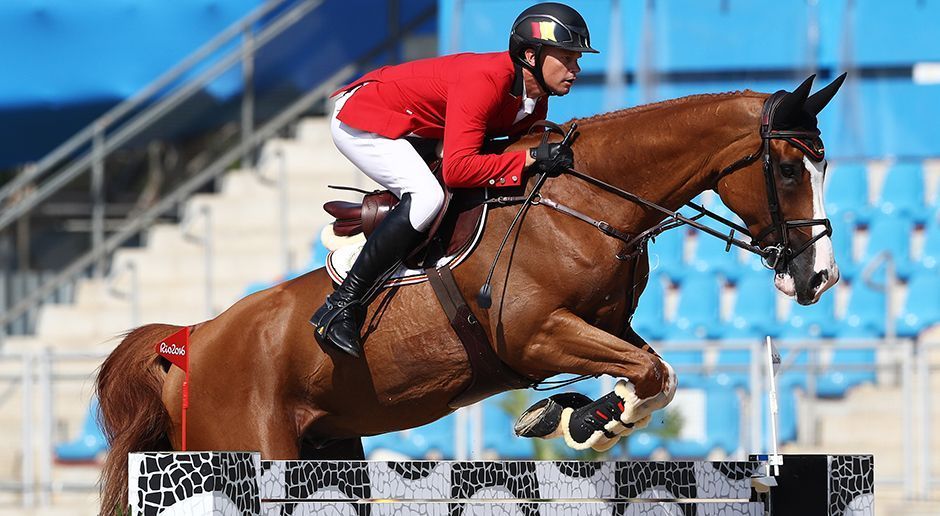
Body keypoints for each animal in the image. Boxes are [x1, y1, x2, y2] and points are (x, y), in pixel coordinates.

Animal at [95, 75, 844, 512]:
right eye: (787, 168)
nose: (818, 278)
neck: (585, 201)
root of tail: (186, 343)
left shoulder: (604, 327)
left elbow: (653, 372)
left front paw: (569, 416)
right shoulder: (535, 335)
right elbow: (652, 373)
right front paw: (584, 420)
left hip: (325, 450)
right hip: (249, 450)